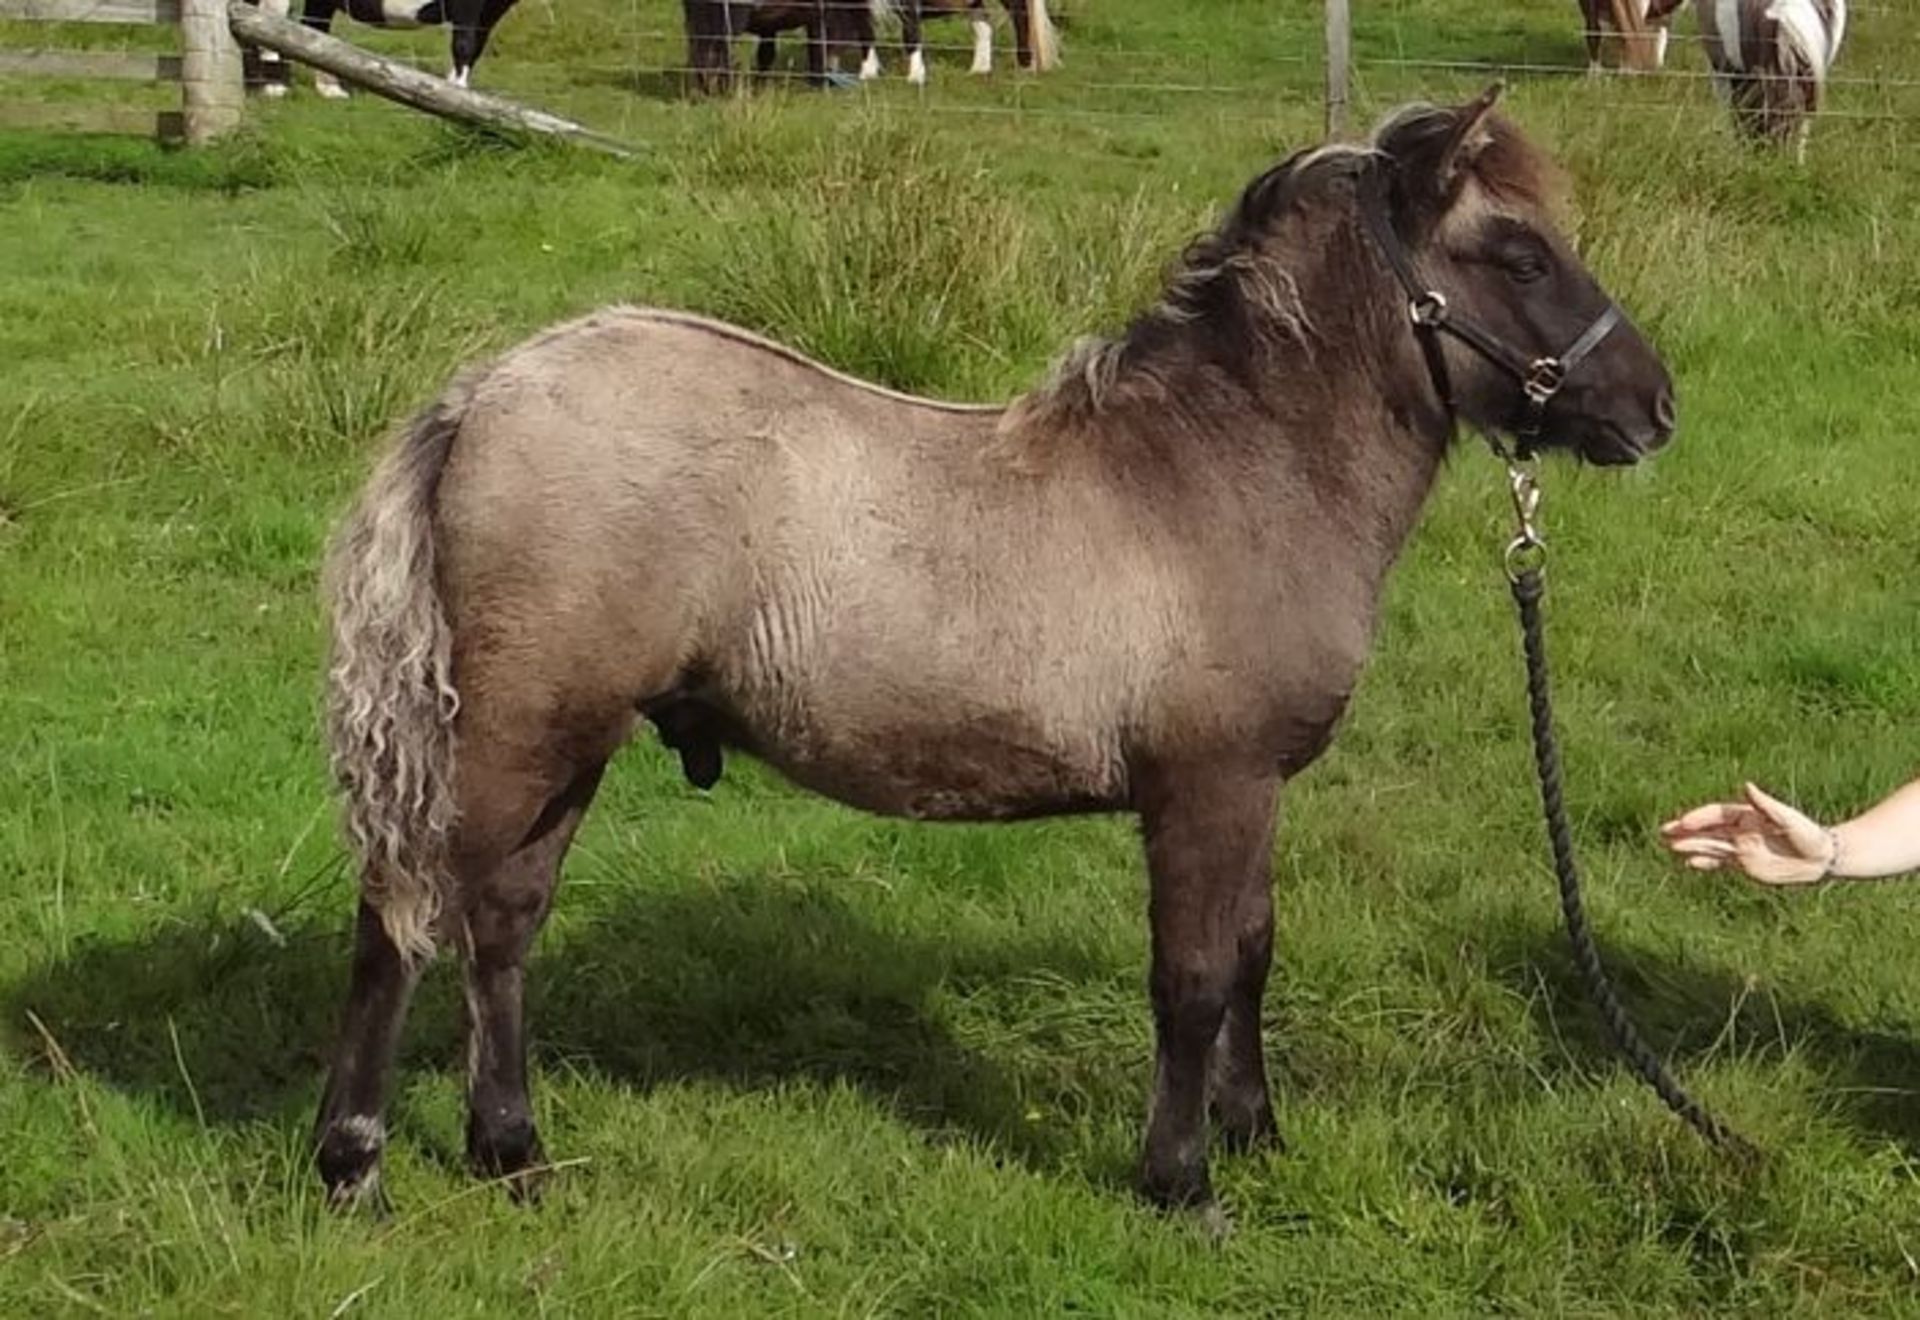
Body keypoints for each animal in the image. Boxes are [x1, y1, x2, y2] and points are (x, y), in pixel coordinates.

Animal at [314, 90, 1681, 1220]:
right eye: (1521, 253)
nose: (1655, 406)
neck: (1221, 474)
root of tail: (480, 395)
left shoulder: (1254, 791)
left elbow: (1251, 952)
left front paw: (1258, 1135)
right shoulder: (1207, 790)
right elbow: (1191, 977)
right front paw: (1181, 1181)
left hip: (563, 748)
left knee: (503, 925)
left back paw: (513, 1155)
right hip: (512, 740)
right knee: (403, 918)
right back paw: (355, 1167)